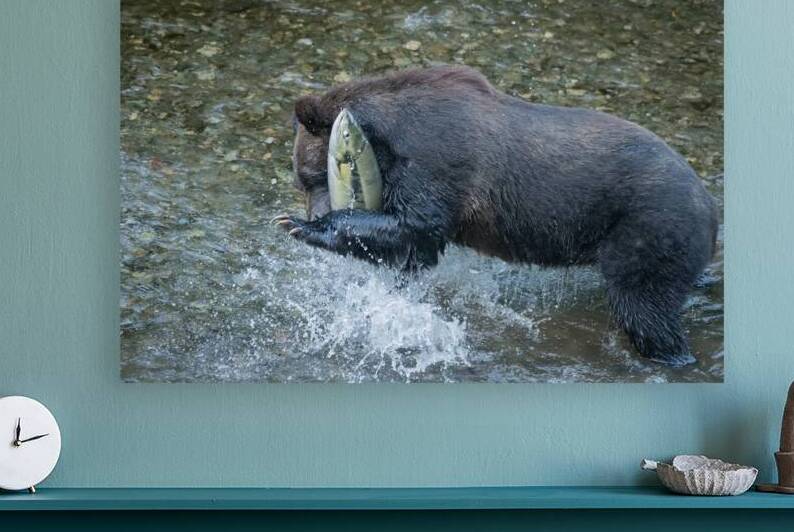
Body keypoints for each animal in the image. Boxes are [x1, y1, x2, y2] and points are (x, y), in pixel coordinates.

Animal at [273, 65, 719, 367]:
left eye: (309, 179)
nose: (314, 209)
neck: (386, 138)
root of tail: (710, 205)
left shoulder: (435, 161)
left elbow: (416, 229)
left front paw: (298, 226)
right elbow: (411, 249)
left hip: (649, 227)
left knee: (644, 308)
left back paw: (671, 353)